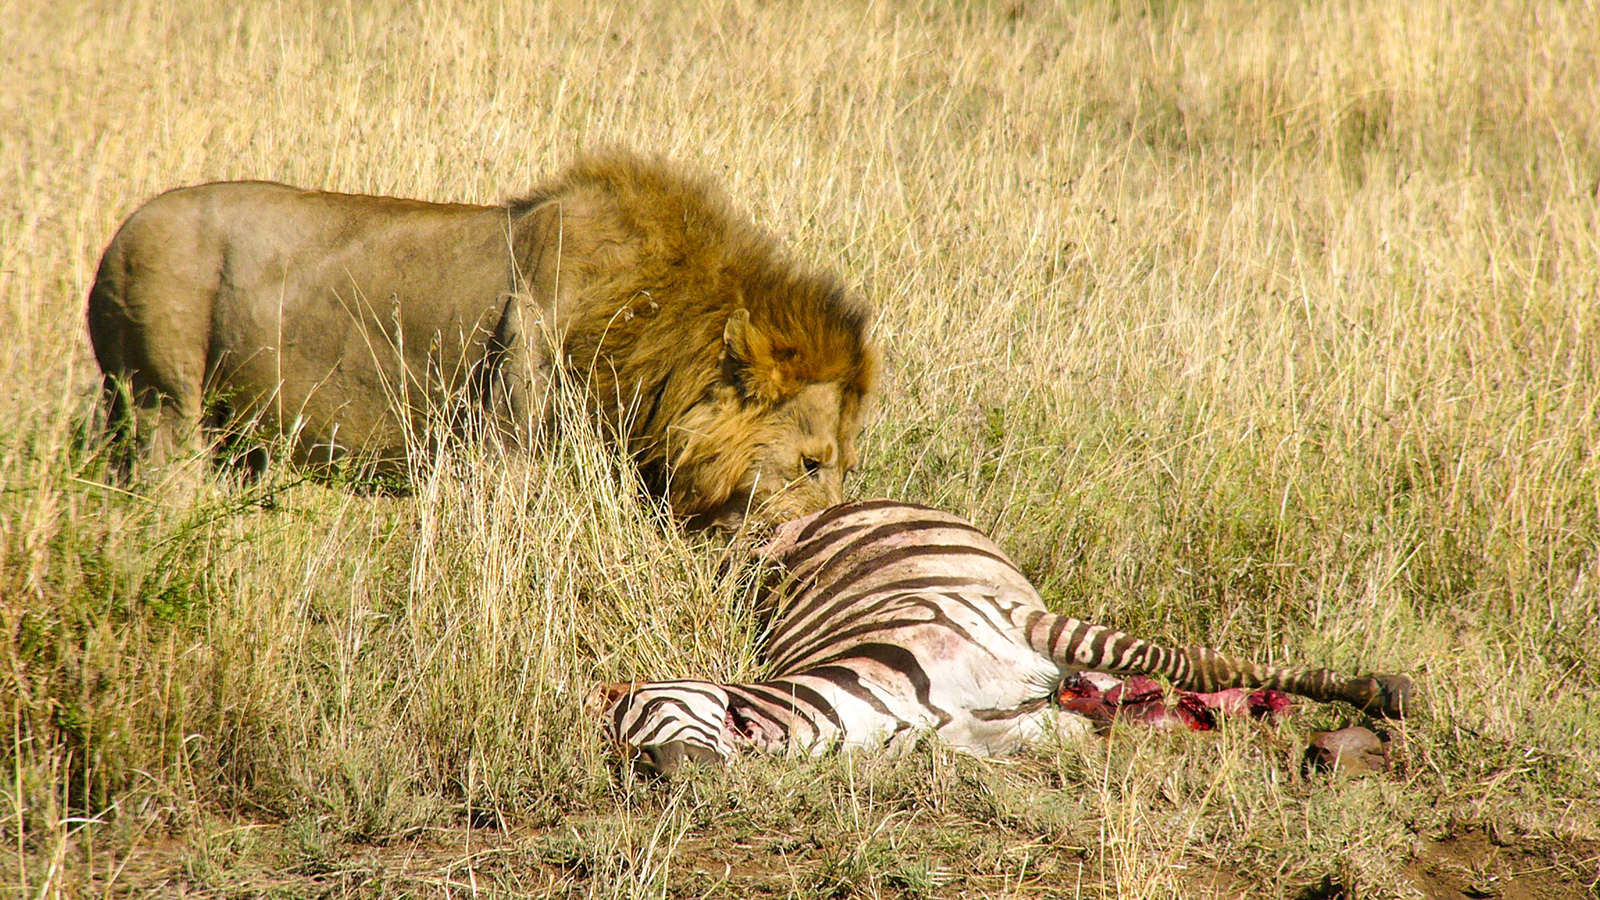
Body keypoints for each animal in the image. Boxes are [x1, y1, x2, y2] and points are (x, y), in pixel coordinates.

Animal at [86, 152, 879, 528]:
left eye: (844, 466)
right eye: (811, 463)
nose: (831, 531)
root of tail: (116, 238)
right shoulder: (504, 447)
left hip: (237, 434)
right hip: (162, 403)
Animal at [600, 499, 1413, 776]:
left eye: (645, 716)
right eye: (629, 756)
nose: (666, 774)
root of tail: (792, 524)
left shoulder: (1031, 628)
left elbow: (1194, 661)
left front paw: (1373, 692)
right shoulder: (1014, 732)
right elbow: (1113, 736)